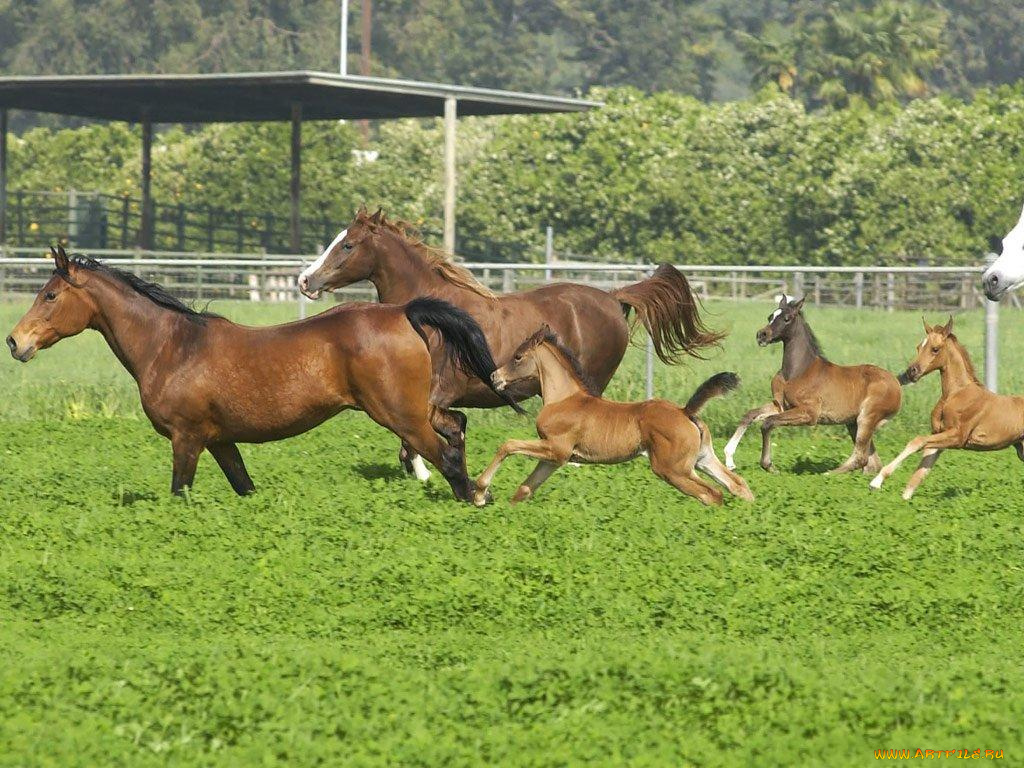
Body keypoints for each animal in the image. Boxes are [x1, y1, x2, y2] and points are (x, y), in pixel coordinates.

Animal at [6, 246, 520, 499]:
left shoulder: (186, 438)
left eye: (50, 295)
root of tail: (403, 312)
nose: (15, 342)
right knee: (456, 426)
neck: (172, 347)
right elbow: (243, 487)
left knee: (445, 452)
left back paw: (473, 498)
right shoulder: (219, 440)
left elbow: (179, 493)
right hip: (415, 409)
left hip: (399, 414)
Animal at [296, 207, 720, 483]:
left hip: (590, 381)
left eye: (347, 245)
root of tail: (613, 298)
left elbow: (412, 435)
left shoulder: (435, 391)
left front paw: (423, 473)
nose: (305, 280)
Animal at [471, 327, 753, 507]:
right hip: (702, 459)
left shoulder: (556, 448)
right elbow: (524, 489)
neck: (564, 399)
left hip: (672, 469)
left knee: (712, 494)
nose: (495, 377)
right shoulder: (555, 458)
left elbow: (508, 445)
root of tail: (686, 412)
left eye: (518, 356)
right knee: (738, 485)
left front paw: (480, 493)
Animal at [720, 296, 905, 473]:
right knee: (872, 463)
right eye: (770, 316)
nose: (762, 335)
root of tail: (896, 383)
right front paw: (729, 459)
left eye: (787, 318)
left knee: (861, 458)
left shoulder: (809, 413)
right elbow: (750, 415)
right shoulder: (781, 406)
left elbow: (768, 423)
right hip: (853, 423)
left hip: (866, 418)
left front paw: (769, 465)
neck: (795, 372)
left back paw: (827, 474)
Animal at [868, 317, 1024, 501]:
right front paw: (904, 500)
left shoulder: (957, 436)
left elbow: (917, 441)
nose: (911, 372)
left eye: (935, 349)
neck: (955, 394)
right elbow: (918, 475)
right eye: (918, 347)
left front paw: (876, 481)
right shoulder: (939, 437)